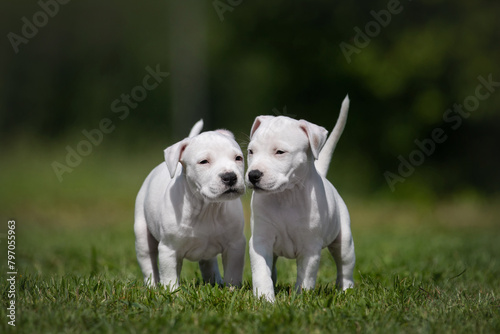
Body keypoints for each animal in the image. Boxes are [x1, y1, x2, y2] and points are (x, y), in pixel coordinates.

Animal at [135, 120, 246, 290]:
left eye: (238, 158)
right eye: (204, 161)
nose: (230, 177)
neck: (208, 208)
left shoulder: (235, 245)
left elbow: (233, 273)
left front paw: (231, 290)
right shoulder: (169, 249)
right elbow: (170, 276)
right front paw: (171, 292)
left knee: (208, 262)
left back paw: (215, 281)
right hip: (141, 233)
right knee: (148, 261)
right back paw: (152, 286)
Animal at [246, 95, 356, 302]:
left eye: (280, 152)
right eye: (251, 151)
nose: (253, 175)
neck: (286, 196)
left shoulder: (310, 247)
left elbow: (306, 277)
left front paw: (300, 298)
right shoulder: (260, 241)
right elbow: (261, 272)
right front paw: (265, 298)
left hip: (344, 241)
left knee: (345, 267)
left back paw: (346, 291)